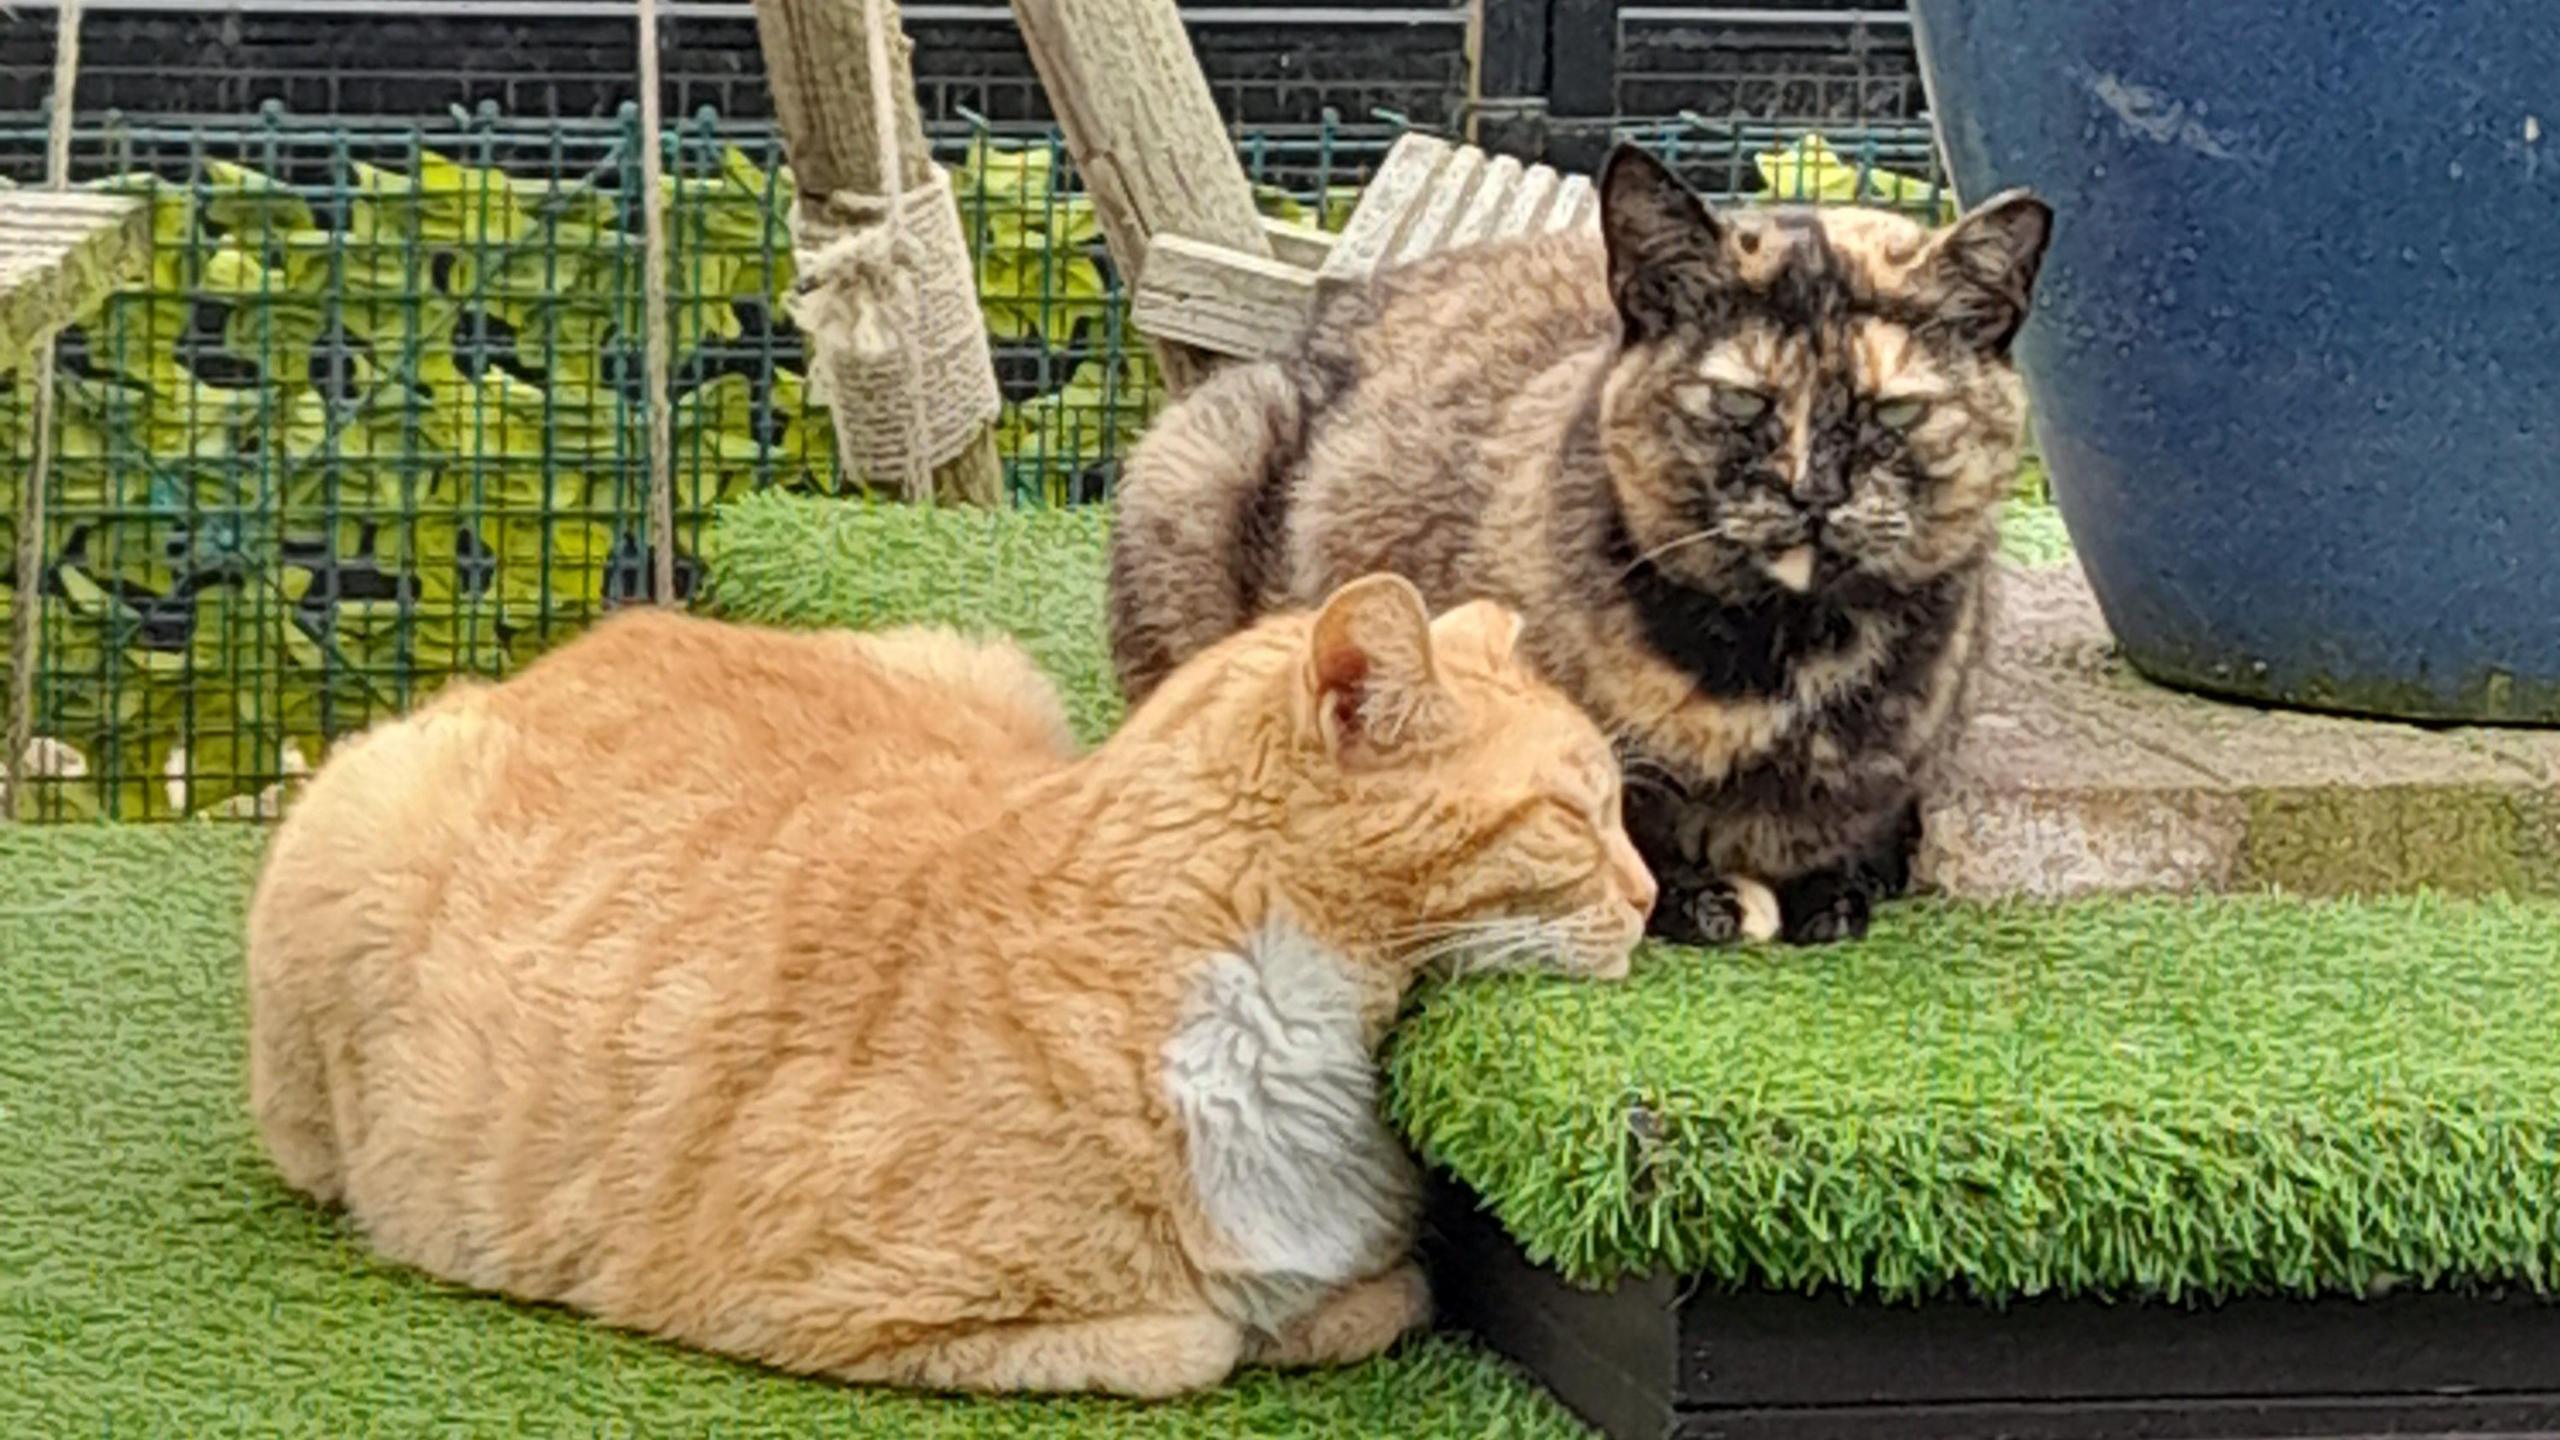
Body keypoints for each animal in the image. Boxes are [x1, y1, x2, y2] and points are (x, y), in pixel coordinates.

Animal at [249, 571, 1648, 1393]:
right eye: (1576, 817)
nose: (1646, 899)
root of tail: (592, 641)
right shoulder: (817, 1301)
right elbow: (1191, 1338)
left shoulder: (1375, 1280)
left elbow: (1376, 1297)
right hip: (344, 831)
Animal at [1111, 148, 2048, 942]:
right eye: (1740, 401)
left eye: (1898, 411)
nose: (1815, 492)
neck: (1784, 666)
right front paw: (1695, 897)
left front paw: (1834, 886)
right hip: (1197, 460)